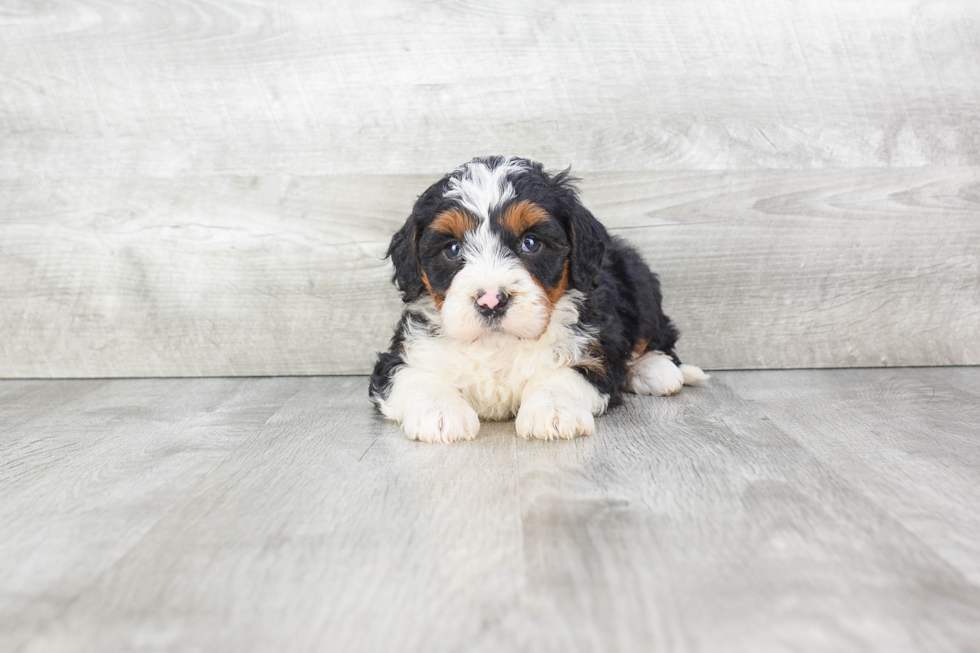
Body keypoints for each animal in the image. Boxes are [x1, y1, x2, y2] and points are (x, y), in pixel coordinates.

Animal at [368, 157, 704, 444]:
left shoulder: (591, 355)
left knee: (657, 338)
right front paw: (440, 412)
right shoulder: (401, 357)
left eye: (530, 243)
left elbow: (563, 374)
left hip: (639, 283)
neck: (498, 345)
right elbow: (416, 376)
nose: (491, 301)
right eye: (452, 249)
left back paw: (657, 371)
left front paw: (553, 410)